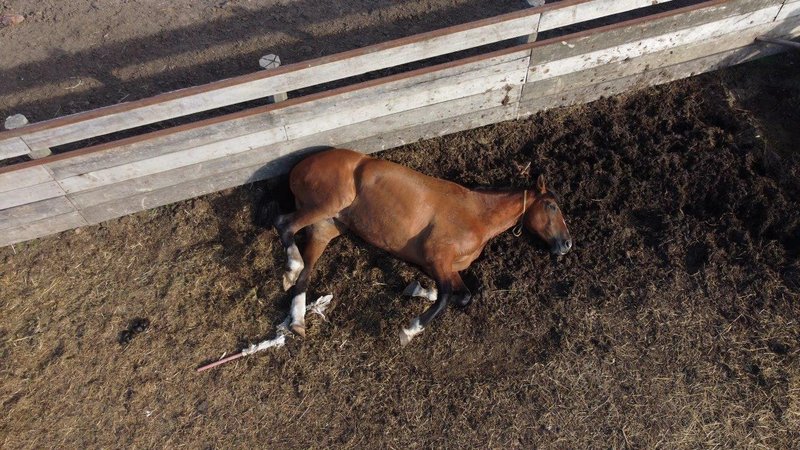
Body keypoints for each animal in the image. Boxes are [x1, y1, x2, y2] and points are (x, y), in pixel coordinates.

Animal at [270, 148, 572, 346]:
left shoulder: (442, 266)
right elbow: (446, 296)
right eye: (551, 206)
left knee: (305, 274)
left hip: (326, 227)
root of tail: (299, 166)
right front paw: (411, 330)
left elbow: (463, 295)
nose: (566, 244)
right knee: (284, 225)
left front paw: (415, 289)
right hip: (326, 205)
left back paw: (297, 319)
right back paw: (291, 267)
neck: (476, 215)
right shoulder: (437, 257)